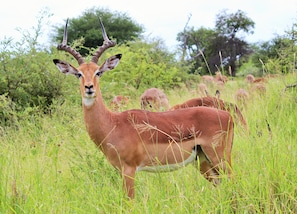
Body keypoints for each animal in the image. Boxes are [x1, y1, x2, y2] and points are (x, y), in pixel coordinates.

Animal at [52, 18, 234, 199]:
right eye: (79, 74)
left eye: (98, 72)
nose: (89, 88)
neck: (113, 124)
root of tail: (228, 116)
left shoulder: (129, 170)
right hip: (203, 162)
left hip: (220, 159)